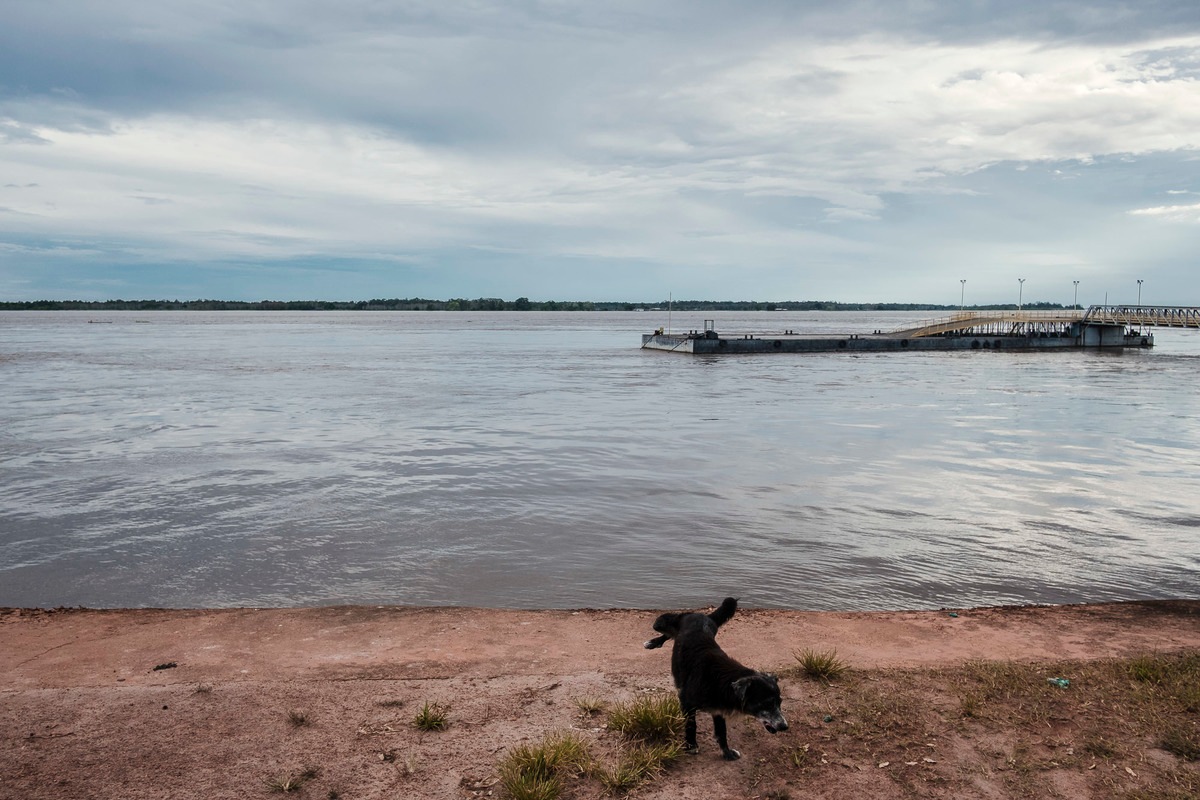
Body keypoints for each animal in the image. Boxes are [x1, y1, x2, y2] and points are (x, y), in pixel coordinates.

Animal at [645, 597, 788, 760]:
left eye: (780, 702)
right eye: (767, 703)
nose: (785, 726)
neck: (721, 681)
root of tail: (702, 615)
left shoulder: (718, 709)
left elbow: (721, 733)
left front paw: (727, 753)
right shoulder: (686, 701)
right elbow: (691, 725)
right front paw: (691, 745)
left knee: (672, 635)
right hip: (663, 623)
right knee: (666, 631)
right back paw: (653, 642)